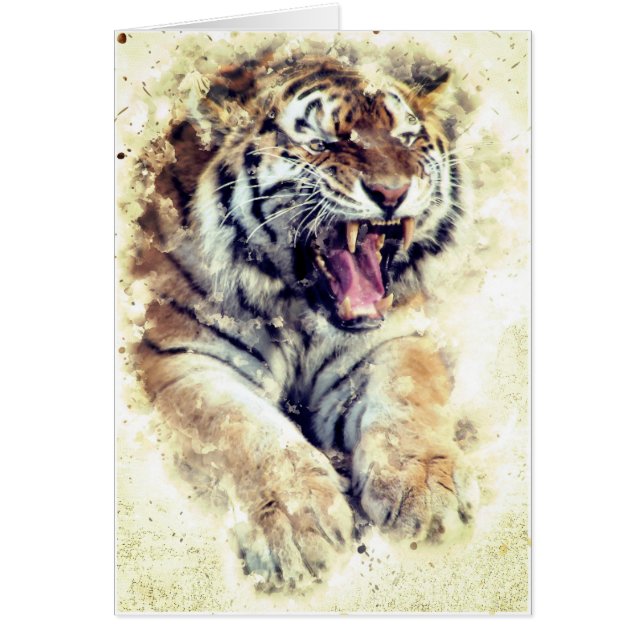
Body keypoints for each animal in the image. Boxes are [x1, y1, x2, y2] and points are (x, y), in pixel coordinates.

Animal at [132, 54, 480, 590]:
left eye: (405, 140)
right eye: (322, 144)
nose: (392, 192)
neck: (299, 309)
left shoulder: (390, 340)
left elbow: (407, 402)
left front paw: (426, 491)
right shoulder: (182, 358)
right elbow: (244, 431)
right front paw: (298, 527)